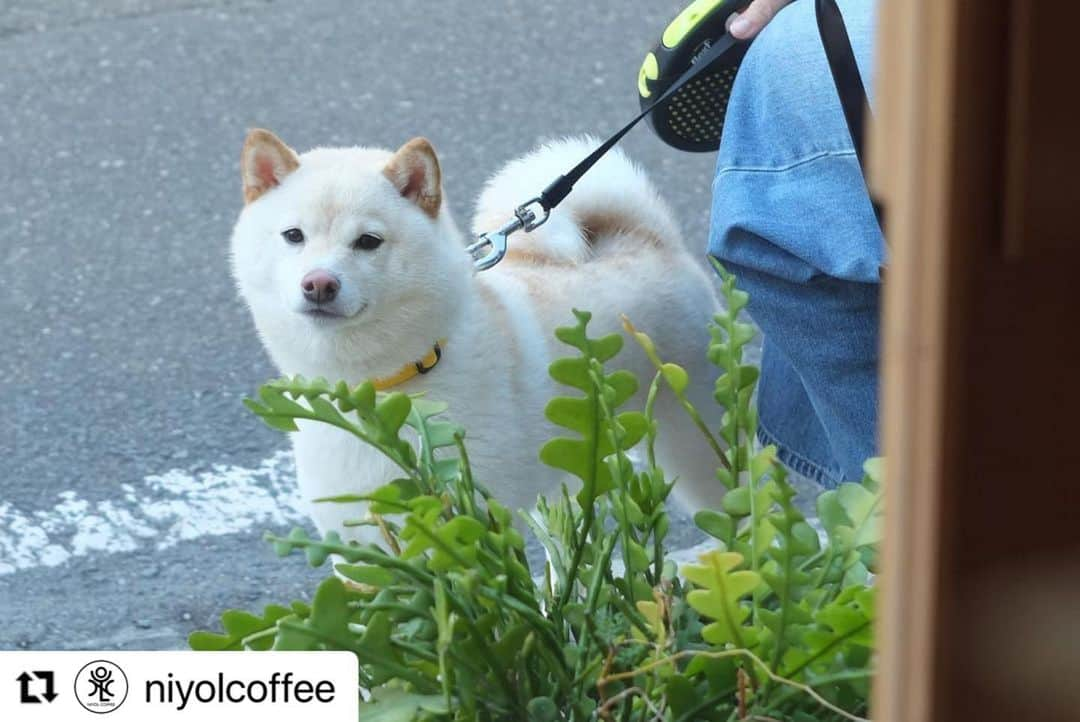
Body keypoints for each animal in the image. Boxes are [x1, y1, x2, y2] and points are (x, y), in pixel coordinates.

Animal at [233, 129, 730, 539]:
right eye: (293, 235)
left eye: (368, 242)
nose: (319, 283)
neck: (378, 393)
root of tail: (646, 238)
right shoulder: (355, 540)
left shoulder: (474, 520)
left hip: (699, 449)